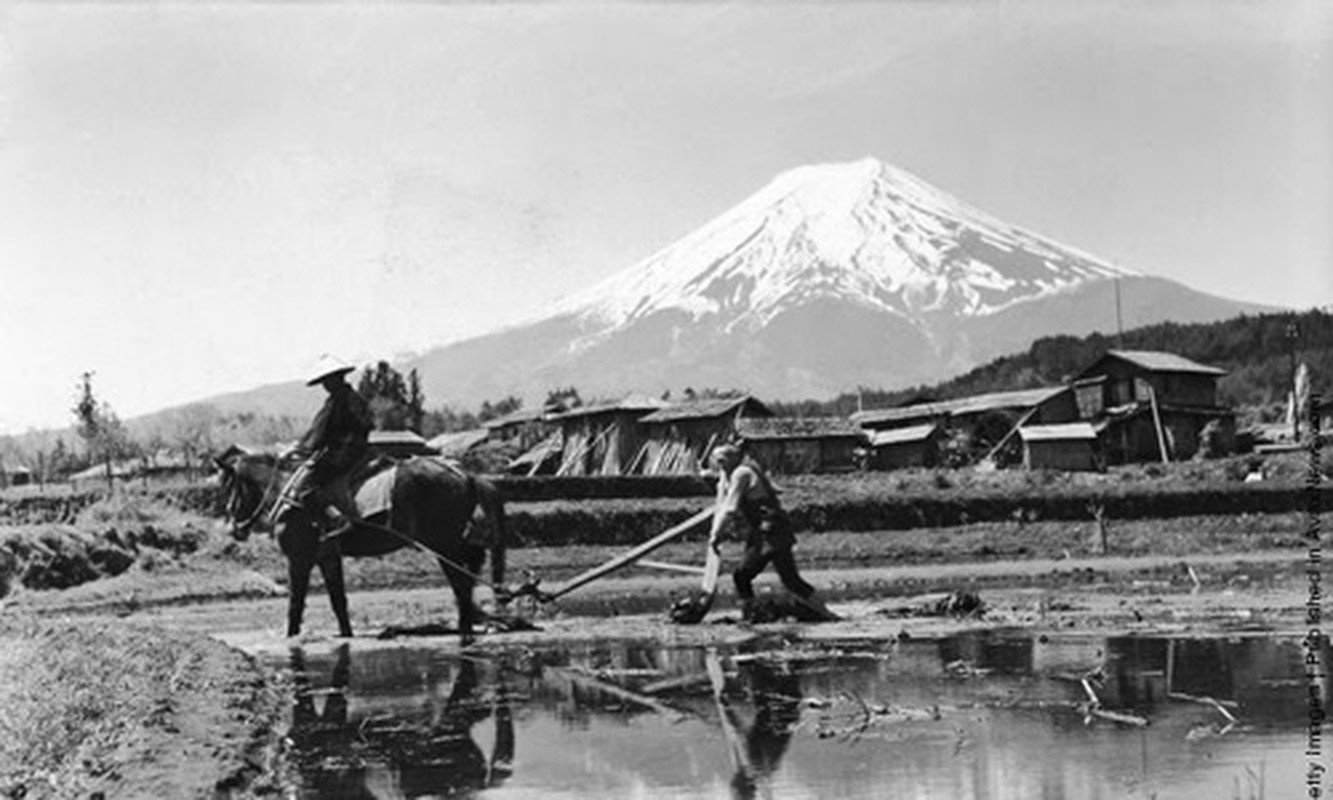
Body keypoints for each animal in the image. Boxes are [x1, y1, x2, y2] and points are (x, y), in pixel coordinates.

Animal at [215, 448, 511, 640]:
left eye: (228, 487)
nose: (233, 528)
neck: (289, 496)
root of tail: (466, 475)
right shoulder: (327, 557)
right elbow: (338, 601)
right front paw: (346, 634)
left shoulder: (299, 559)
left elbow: (295, 603)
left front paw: (291, 637)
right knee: (467, 581)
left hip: (444, 546)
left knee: (461, 585)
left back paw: (466, 629)